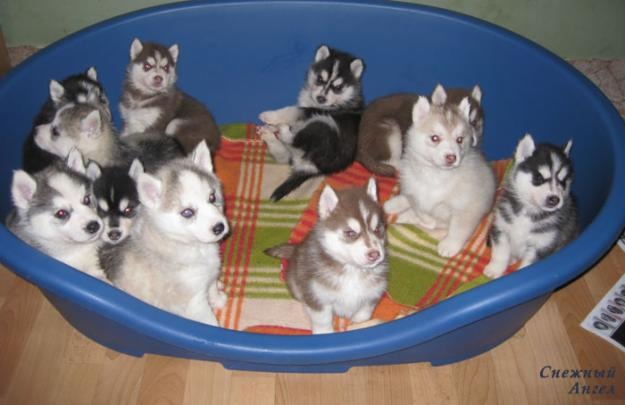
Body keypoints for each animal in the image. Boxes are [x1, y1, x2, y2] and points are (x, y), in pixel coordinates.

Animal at [99, 141, 229, 325]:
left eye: (212, 197)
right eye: (187, 212)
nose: (220, 227)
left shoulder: (209, 274)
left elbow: (211, 286)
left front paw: (218, 299)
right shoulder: (194, 302)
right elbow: (208, 321)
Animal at [258, 44, 365, 201]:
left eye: (338, 88)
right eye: (320, 79)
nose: (321, 98)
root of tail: (313, 168)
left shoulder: (313, 111)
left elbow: (291, 110)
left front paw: (270, 115)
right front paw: (272, 127)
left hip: (324, 127)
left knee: (293, 140)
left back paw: (282, 130)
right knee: (283, 154)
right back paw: (268, 134)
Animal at [265, 178, 388, 334]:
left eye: (377, 229)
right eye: (351, 233)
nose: (375, 254)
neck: (352, 270)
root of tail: (296, 248)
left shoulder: (374, 292)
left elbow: (365, 312)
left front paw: (359, 322)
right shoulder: (317, 295)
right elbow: (321, 320)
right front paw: (324, 332)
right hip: (295, 282)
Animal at [383, 84, 496, 258]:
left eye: (459, 139)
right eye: (435, 138)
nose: (451, 157)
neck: (435, 175)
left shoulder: (467, 207)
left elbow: (457, 228)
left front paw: (449, 244)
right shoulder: (416, 193)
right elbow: (420, 208)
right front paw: (421, 218)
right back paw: (395, 205)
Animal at [484, 134, 579, 278]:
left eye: (562, 181)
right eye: (538, 178)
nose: (555, 199)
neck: (529, 211)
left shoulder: (541, 244)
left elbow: (528, 265)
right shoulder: (501, 228)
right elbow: (500, 253)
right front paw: (495, 269)